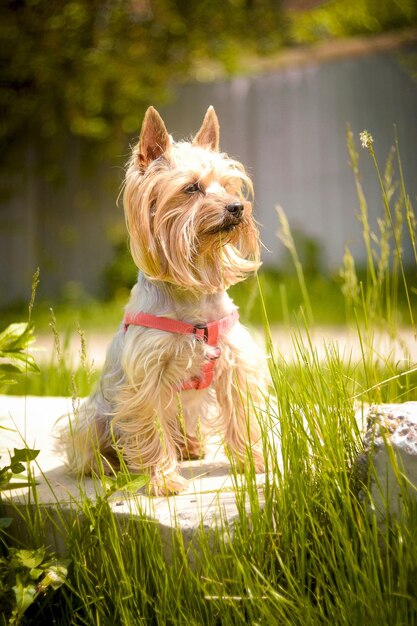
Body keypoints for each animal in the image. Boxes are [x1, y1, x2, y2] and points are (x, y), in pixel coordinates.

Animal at [65, 108, 266, 498]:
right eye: (191, 188)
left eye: (228, 186)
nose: (237, 207)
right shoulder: (146, 381)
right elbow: (152, 427)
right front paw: (164, 480)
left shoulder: (234, 365)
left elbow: (241, 414)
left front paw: (253, 461)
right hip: (94, 415)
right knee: (88, 446)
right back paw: (106, 465)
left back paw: (190, 447)